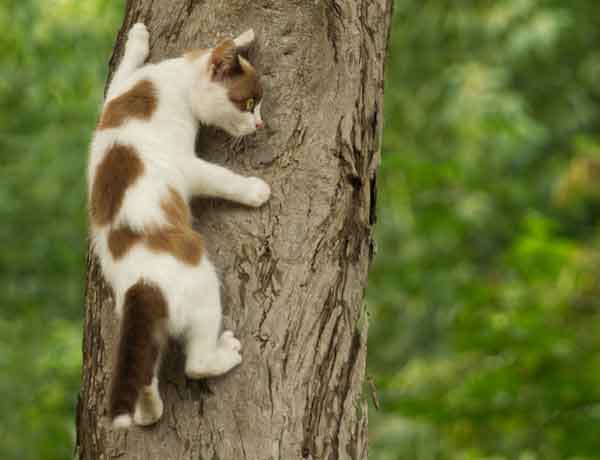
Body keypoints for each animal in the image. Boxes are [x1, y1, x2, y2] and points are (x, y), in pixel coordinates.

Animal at [87, 23, 270, 430]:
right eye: (248, 103)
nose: (261, 123)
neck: (169, 81)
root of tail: (143, 285)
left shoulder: (114, 94)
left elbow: (125, 64)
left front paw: (138, 37)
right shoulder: (188, 167)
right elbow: (222, 178)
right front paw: (256, 190)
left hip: (146, 330)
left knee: (145, 374)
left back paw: (148, 411)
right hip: (205, 289)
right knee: (196, 365)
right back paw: (225, 353)